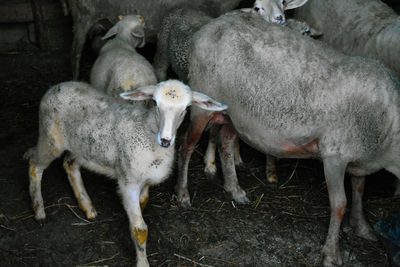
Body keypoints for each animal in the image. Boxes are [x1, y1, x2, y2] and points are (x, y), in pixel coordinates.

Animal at [23, 79, 227, 267]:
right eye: (155, 103)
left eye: (187, 108)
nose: (166, 140)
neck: (148, 133)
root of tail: (57, 86)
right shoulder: (129, 182)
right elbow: (140, 230)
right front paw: (142, 262)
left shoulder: (145, 181)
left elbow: (141, 207)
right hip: (50, 139)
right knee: (35, 165)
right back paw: (39, 210)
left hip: (80, 146)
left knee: (69, 164)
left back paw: (88, 207)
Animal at [176, 11, 400, 266]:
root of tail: (210, 26)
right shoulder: (334, 155)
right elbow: (339, 204)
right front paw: (332, 253)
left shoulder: (360, 157)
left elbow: (360, 190)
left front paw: (362, 227)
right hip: (202, 104)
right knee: (186, 146)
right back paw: (182, 194)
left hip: (236, 115)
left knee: (225, 142)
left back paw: (235, 189)